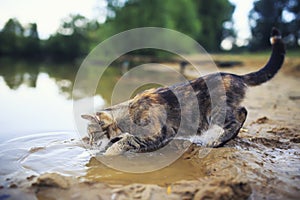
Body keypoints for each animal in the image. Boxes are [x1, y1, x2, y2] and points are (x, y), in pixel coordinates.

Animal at [81, 28, 284, 155]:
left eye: (92, 134)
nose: (88, 143)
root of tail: (235, 75)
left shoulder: (158, 132)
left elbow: (127, 141)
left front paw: (110, 152)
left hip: (216, 111)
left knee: (241, 113)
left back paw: (219, 141)